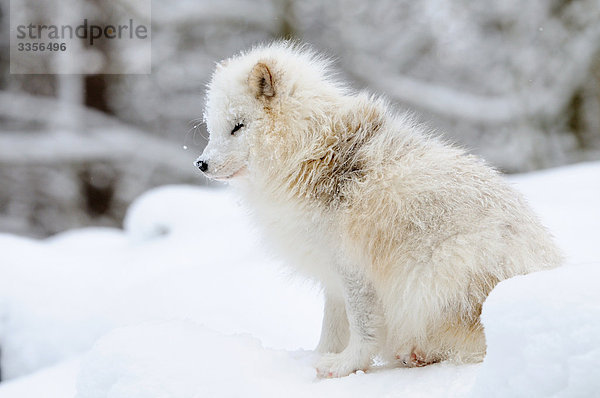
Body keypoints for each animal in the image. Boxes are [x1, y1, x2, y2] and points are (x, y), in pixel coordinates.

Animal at [196, 42, 564, 378]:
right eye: (213, 128)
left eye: (238, 126)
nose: (201, 164)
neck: (312, 151)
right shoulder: (333, 277)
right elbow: (331, 330)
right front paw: (315, 359)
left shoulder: (353, 269)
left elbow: (364, 329)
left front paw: (344, 367)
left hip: (435, 274)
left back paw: (418, 354)